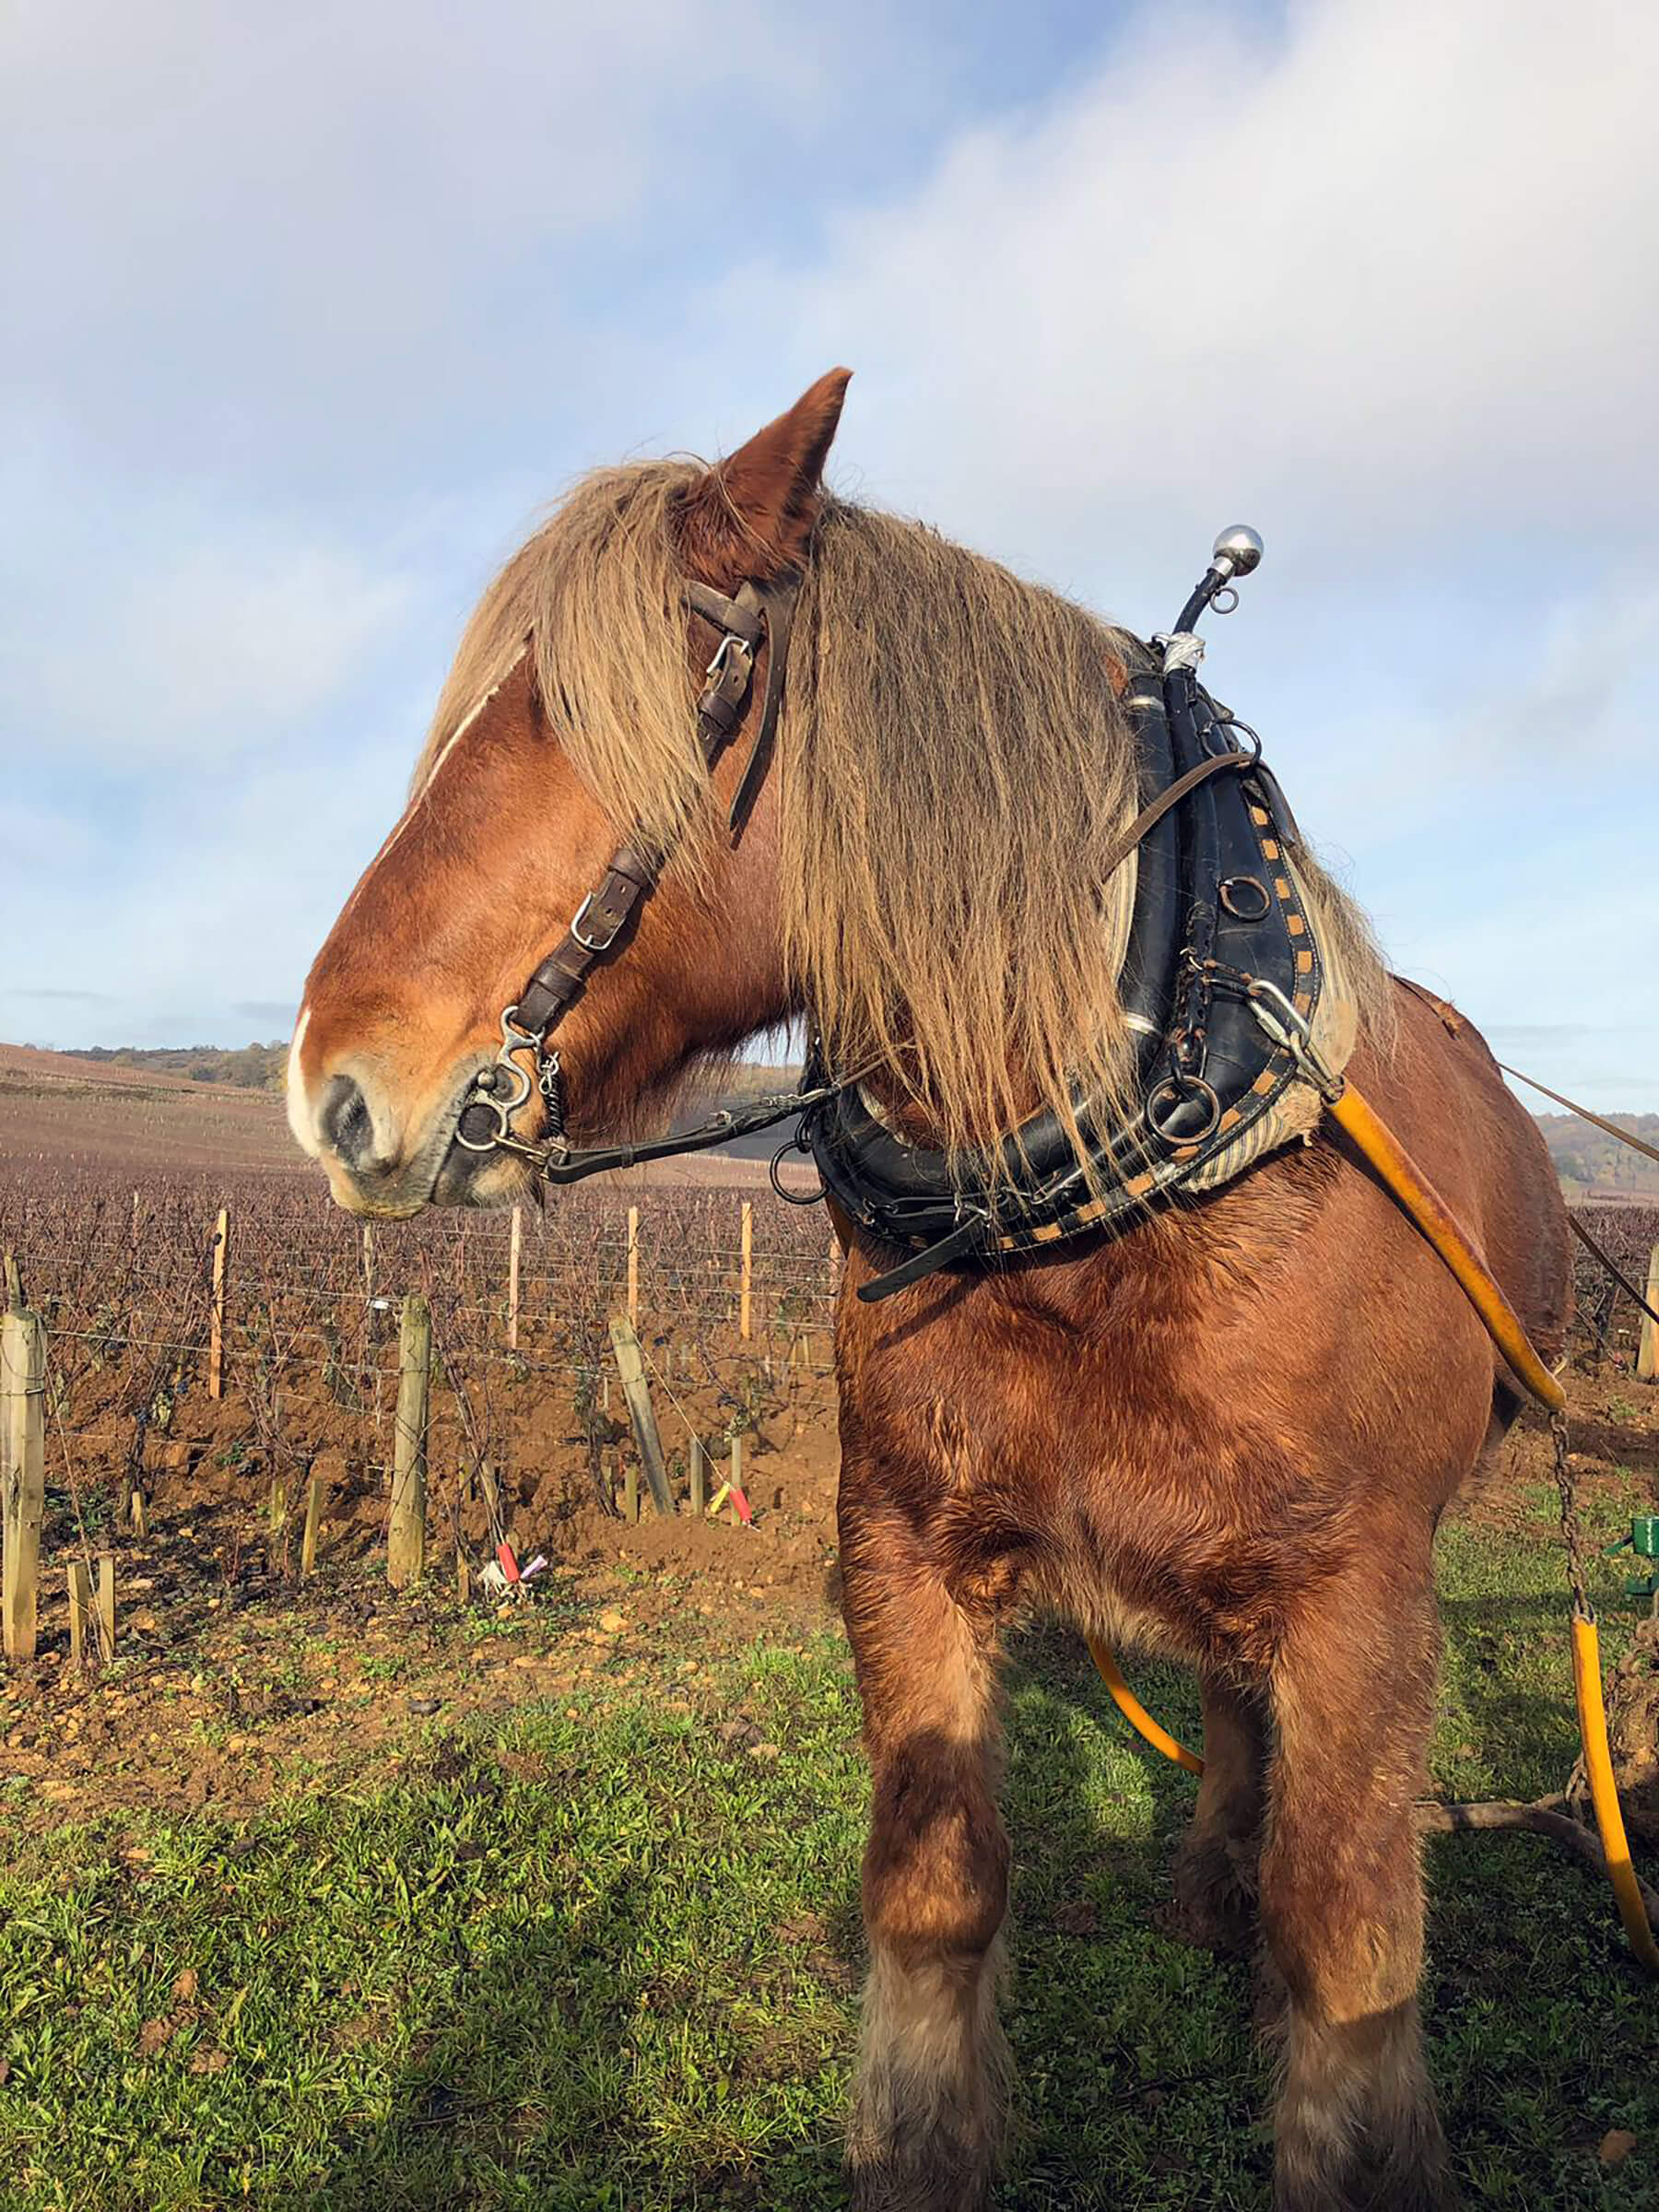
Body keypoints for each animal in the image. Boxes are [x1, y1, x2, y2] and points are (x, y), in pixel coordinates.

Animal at [291, 371, 1574, 2203]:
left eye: (591, 709)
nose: (330, 1090)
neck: (1115, 1195)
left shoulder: (1365, 1607)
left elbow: (1350, 1962)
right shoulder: (901, 1549)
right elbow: (932, 1902)